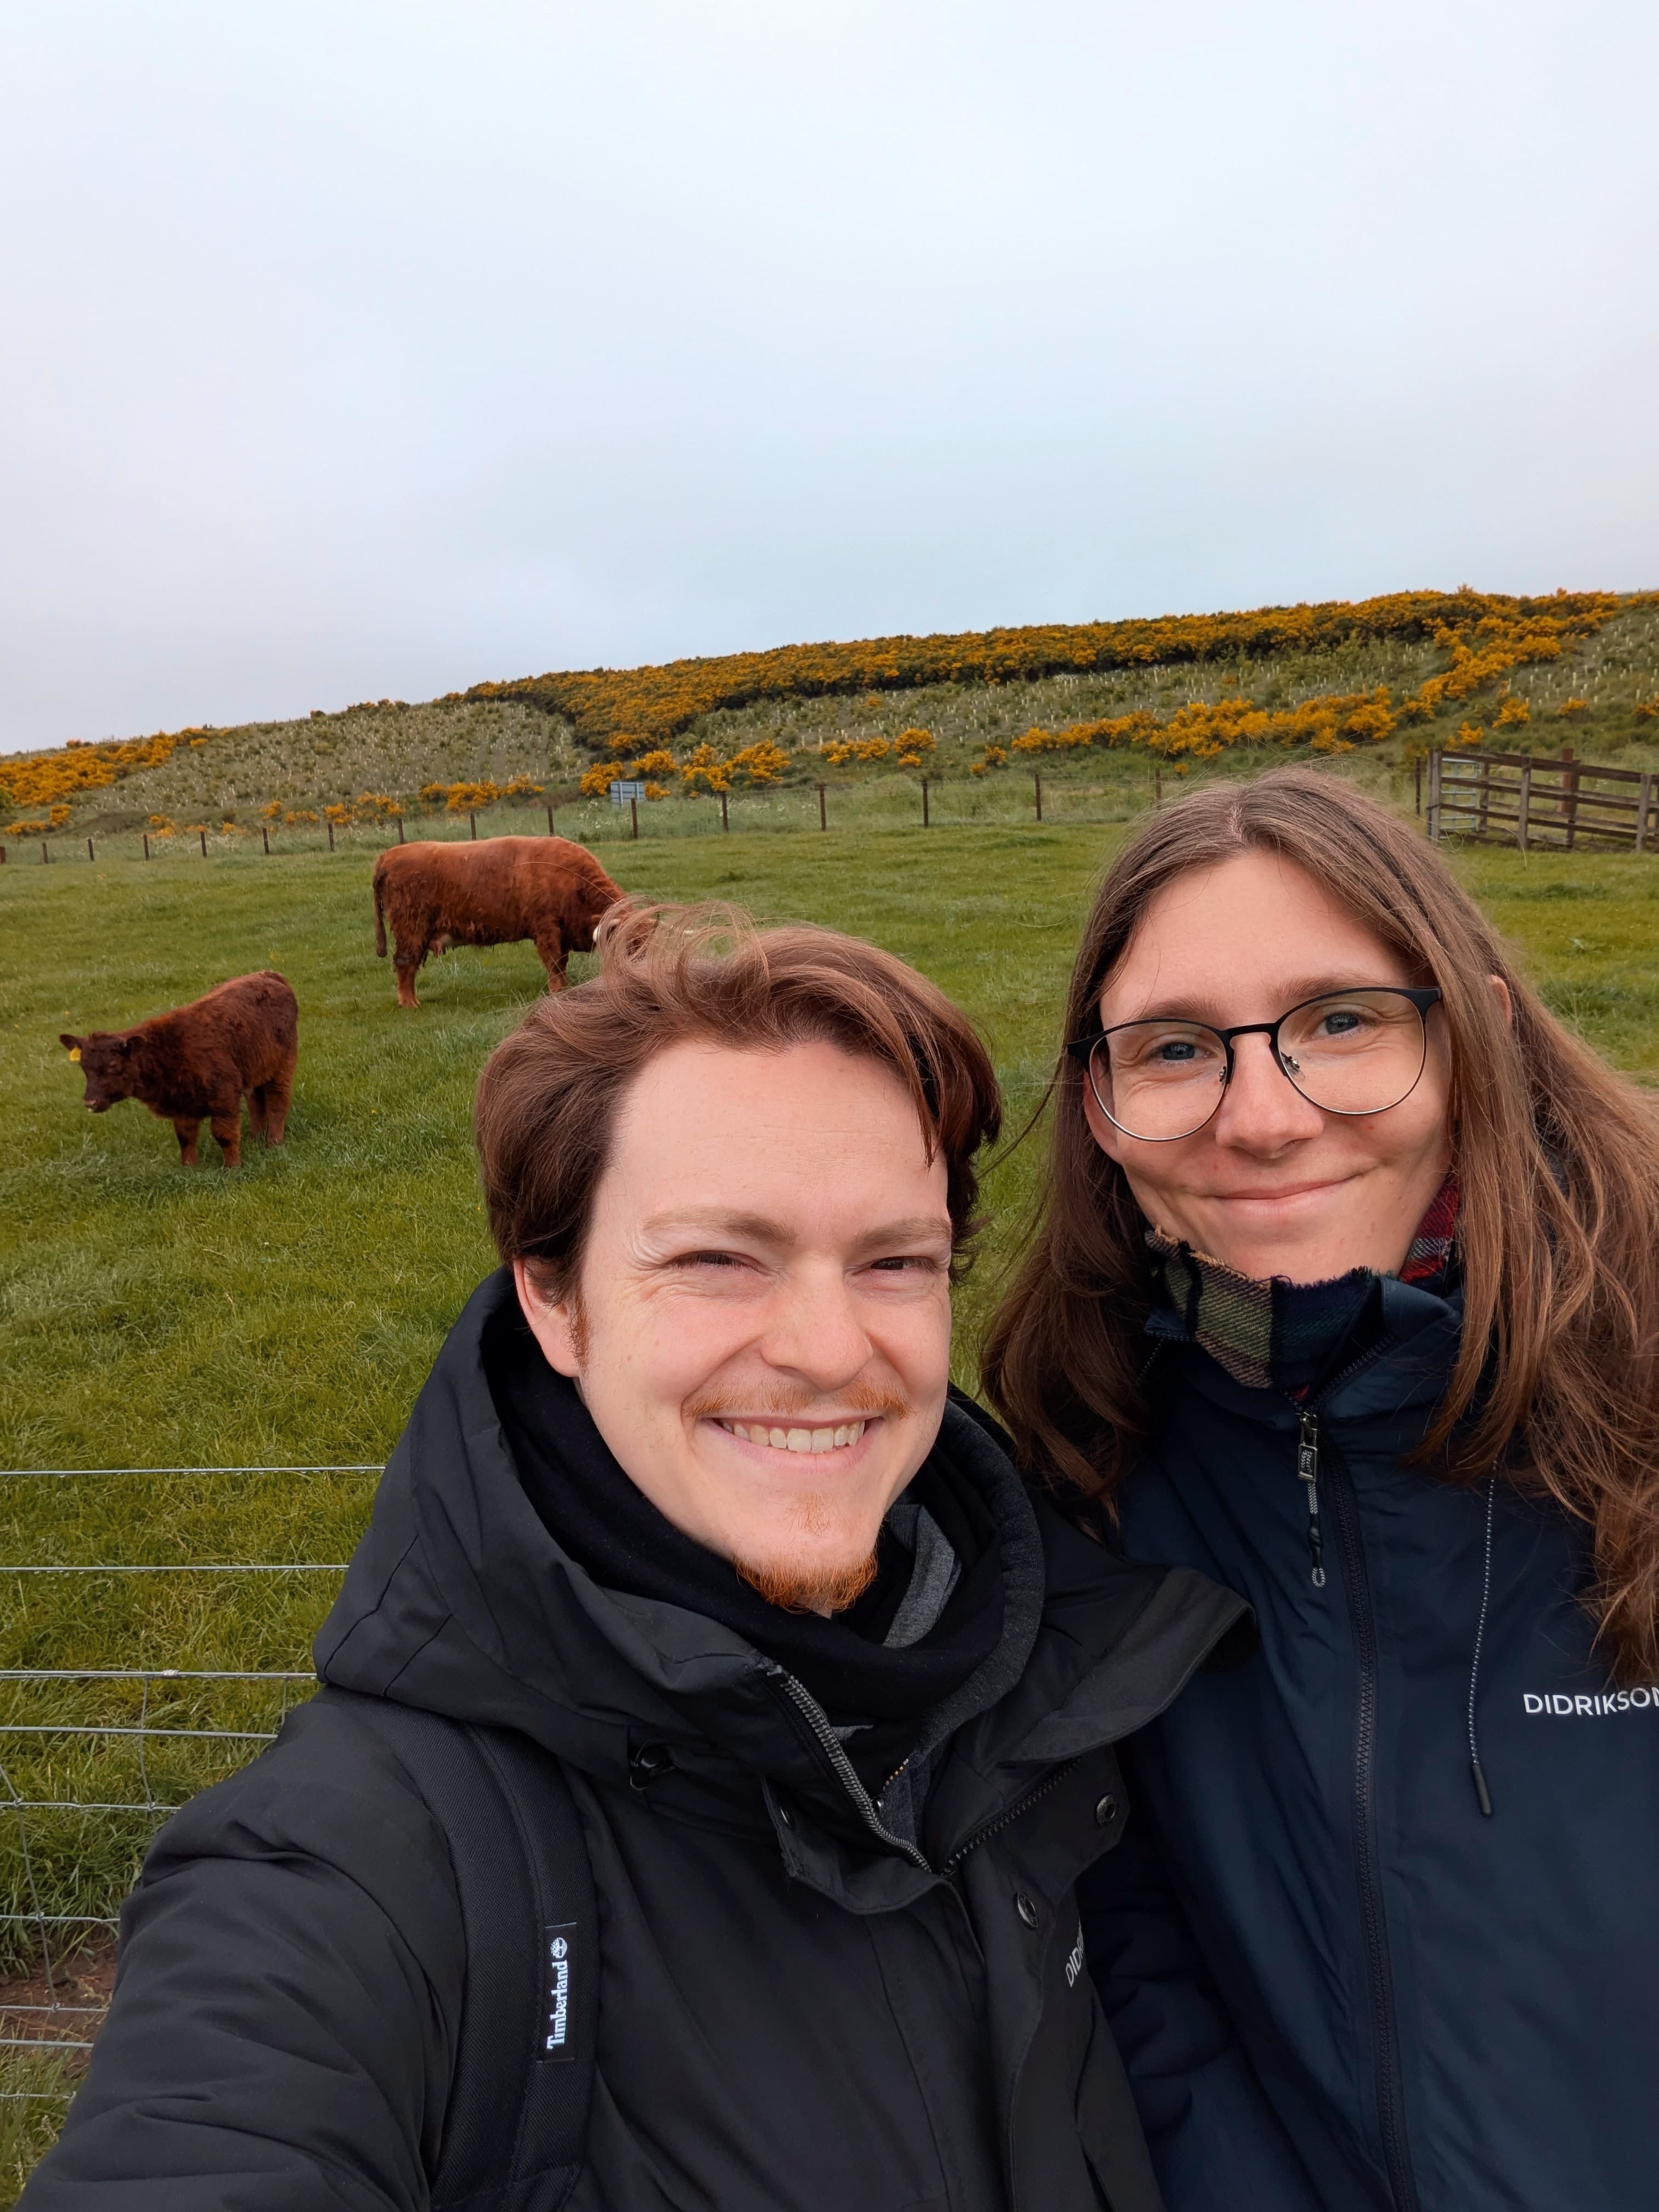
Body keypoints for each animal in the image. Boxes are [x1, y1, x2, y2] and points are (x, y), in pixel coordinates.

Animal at [60, 971, 299, 1169]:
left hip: (281, 1068)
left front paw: (233, 1167)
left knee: (277, 1102)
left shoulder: (224, 1099)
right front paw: (189, 1169)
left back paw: (273, 1142)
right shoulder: (182, 1107)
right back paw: (255, 1137)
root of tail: (269, 975)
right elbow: (185, 1138)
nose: (90, 1102)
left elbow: (224, 1135)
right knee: (256, 1102)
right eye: (83, 1067)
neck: (167, 1050)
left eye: (113, 1066)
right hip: (256, 1071)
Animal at [371, 835, 624, 1008]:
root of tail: (388, 856)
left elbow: (561, 963)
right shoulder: (546, 929)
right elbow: (555, 964)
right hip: (411, 928)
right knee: (405, 963)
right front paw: (559, 993)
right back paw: (409, 1003)